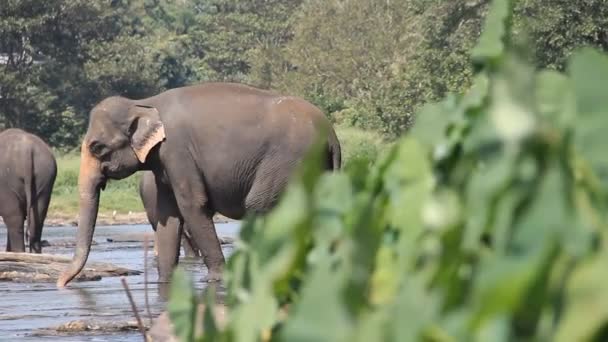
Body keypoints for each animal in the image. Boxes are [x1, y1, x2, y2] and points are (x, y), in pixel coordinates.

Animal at [57, 83, 342, 288]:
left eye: (97, 147)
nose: (61, 284)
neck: (145, 102)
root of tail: (332, 137)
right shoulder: (163, 163)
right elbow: (168, 216)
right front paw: (165, 282)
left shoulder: (177, 151)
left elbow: (192, 205)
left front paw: (215, 280)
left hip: (290, 163)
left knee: (260, 206)